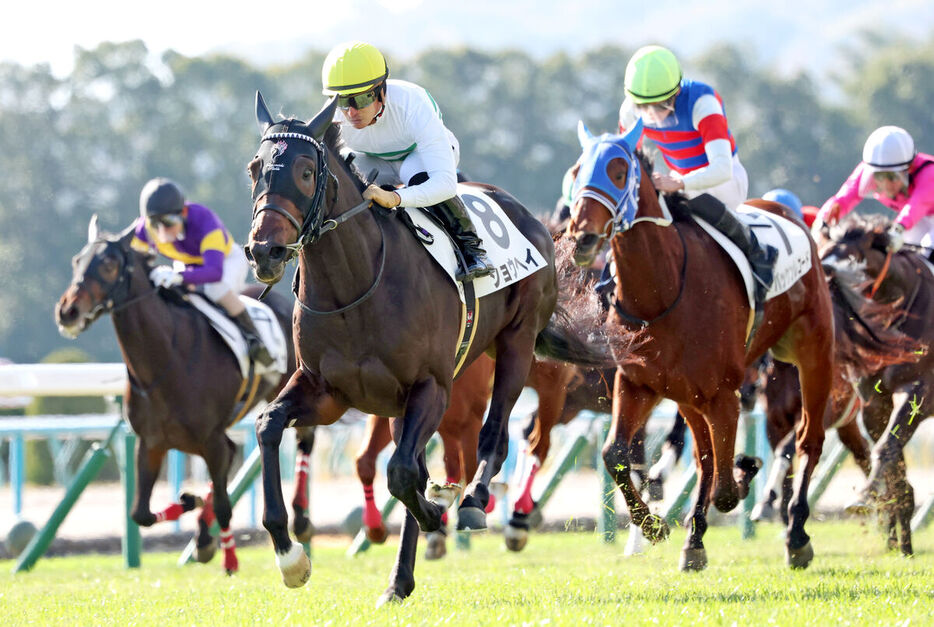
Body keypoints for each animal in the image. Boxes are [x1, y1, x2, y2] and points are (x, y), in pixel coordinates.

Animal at [56, 216, 316, 576]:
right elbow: (140, 513)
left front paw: (230, 559)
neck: (164, 362)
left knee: (305, 440)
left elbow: (223, 505)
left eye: (108, 263)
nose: (67, 311)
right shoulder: (151, 443)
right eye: (77, 261)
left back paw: (301, 518)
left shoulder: (210, 439)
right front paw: (191, 504)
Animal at [243, 94, 616, 604]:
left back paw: (473, 501)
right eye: (254, 168)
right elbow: (269, 426)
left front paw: (439, 511)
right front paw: (290, 556)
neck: (355, 288)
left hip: (517, 344)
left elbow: (403, 473)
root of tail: (524, 213)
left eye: (304, 170)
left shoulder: (432, 387)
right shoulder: (326, 392)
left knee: (496, 434)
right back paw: (400, 578)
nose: (265, 252)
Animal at [568, 125, 836, 572]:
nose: (582, 238)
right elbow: (615, 453)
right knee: (706, 459)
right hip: (687, 395)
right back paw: (695, 540)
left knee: (807, 440)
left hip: (814, 353)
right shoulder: (638, 383)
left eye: (619, 171)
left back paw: (797, 534)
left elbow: (725, 488)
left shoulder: (724, 393)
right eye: (575, 172)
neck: (661, 292)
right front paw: (653, 526)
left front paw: (745, 472)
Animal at [820, 215, 934, 556]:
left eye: (855, 257)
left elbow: (886, 447)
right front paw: (896, 528)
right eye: (823, 252)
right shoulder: (874, 400)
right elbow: (891, 455)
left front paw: (865, 496)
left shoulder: (922, 391)